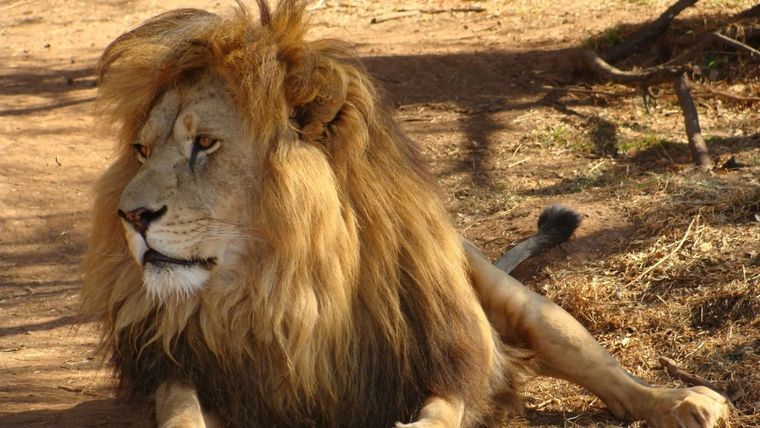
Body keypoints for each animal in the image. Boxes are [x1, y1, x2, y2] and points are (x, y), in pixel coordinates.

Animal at [80, 1, 730, 427]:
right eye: (141, 150)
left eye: (205, 144)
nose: (129, 216)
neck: (283, 287)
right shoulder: (190, 368)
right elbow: (180, 412)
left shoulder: (444, 351)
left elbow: (446, 407)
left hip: (520, 306)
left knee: (608, 374)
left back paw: (687, 402)